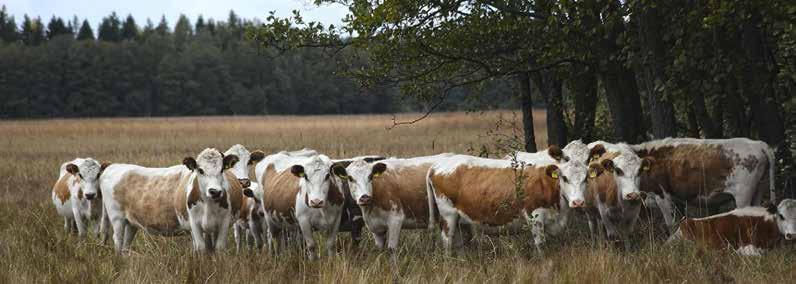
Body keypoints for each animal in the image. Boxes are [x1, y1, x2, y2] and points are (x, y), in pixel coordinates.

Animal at [100, 149, 243, 253]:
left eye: (222, 169)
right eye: (200, 170)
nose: (215, 191)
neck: (209, 205)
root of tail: (113, 166)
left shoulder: (223, 223)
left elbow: (217, 248)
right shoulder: (194, 224)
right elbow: (201, 248)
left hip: (130, 223)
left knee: (125, 245)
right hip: (117, 218)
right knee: (118, 240)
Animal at [430, 154, 580, 254]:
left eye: (584, 179)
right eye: (564, 178)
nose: (578, 202)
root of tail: (437, 166)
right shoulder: (534, 216)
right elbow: (540, 244)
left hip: (461, 221)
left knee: (459, 243)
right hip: (448, 216)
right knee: (447, 241)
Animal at [632, 138, 776, 231]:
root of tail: (759, 144)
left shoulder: (661, 193)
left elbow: (670, 224)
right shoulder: (677, 198)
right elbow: (681, 220)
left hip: (743, 195)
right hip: (759, 190)